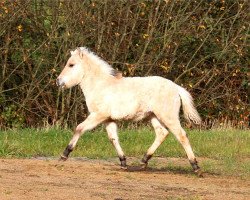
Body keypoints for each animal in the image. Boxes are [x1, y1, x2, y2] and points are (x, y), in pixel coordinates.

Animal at [56, 46, 201, 175]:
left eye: (71, 64)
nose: (58, 81)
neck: (101, 85)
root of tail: (176, 88)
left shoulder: (98, 115)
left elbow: (79, 128)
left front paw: (64, 155)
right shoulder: (108, 119)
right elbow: (113, 138)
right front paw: (123, 163)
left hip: (168, 117)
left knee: (182, 136)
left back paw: (196, 167)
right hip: (153, 116)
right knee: (162, 133)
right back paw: (144, 161)